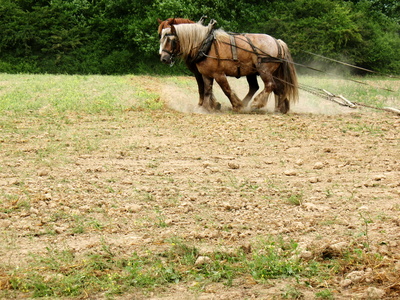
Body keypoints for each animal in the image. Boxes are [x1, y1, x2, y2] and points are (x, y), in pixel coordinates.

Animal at [161, 20, 298, 112]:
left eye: (171, 40)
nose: (164, 58)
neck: (205, 44)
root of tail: (277, 42)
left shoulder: (219, 74)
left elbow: (226, 89)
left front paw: (237, 105)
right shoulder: (206, 74)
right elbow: (207, 90)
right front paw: (206, 108)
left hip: (264, 70)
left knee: (270, 85)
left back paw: (256, 103)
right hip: (265, 72)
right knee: (276, 88)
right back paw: (280, 107)